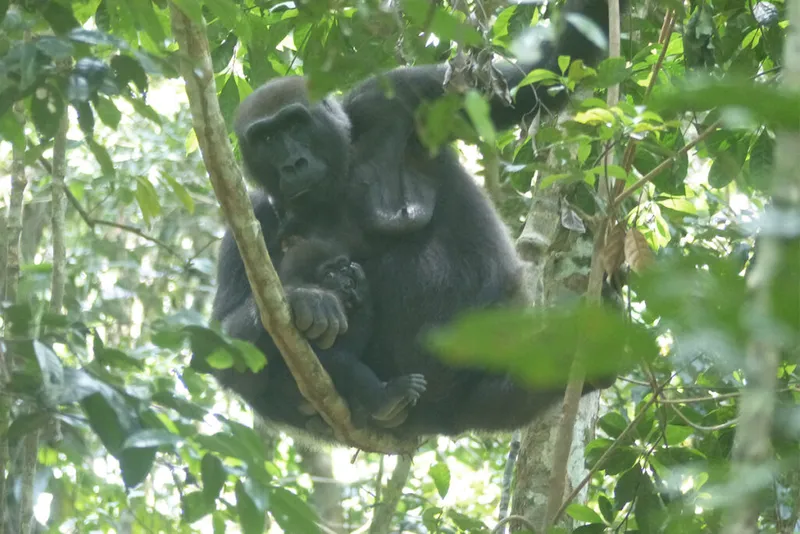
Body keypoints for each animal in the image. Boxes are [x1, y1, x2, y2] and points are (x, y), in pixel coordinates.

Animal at [212, 0, 620, 444]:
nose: (293, 164)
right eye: (267, 139)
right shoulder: (249, 219)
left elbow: (545, 71)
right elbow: (225, 347)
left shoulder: (395, 96)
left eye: (295, 124)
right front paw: (305, 296)